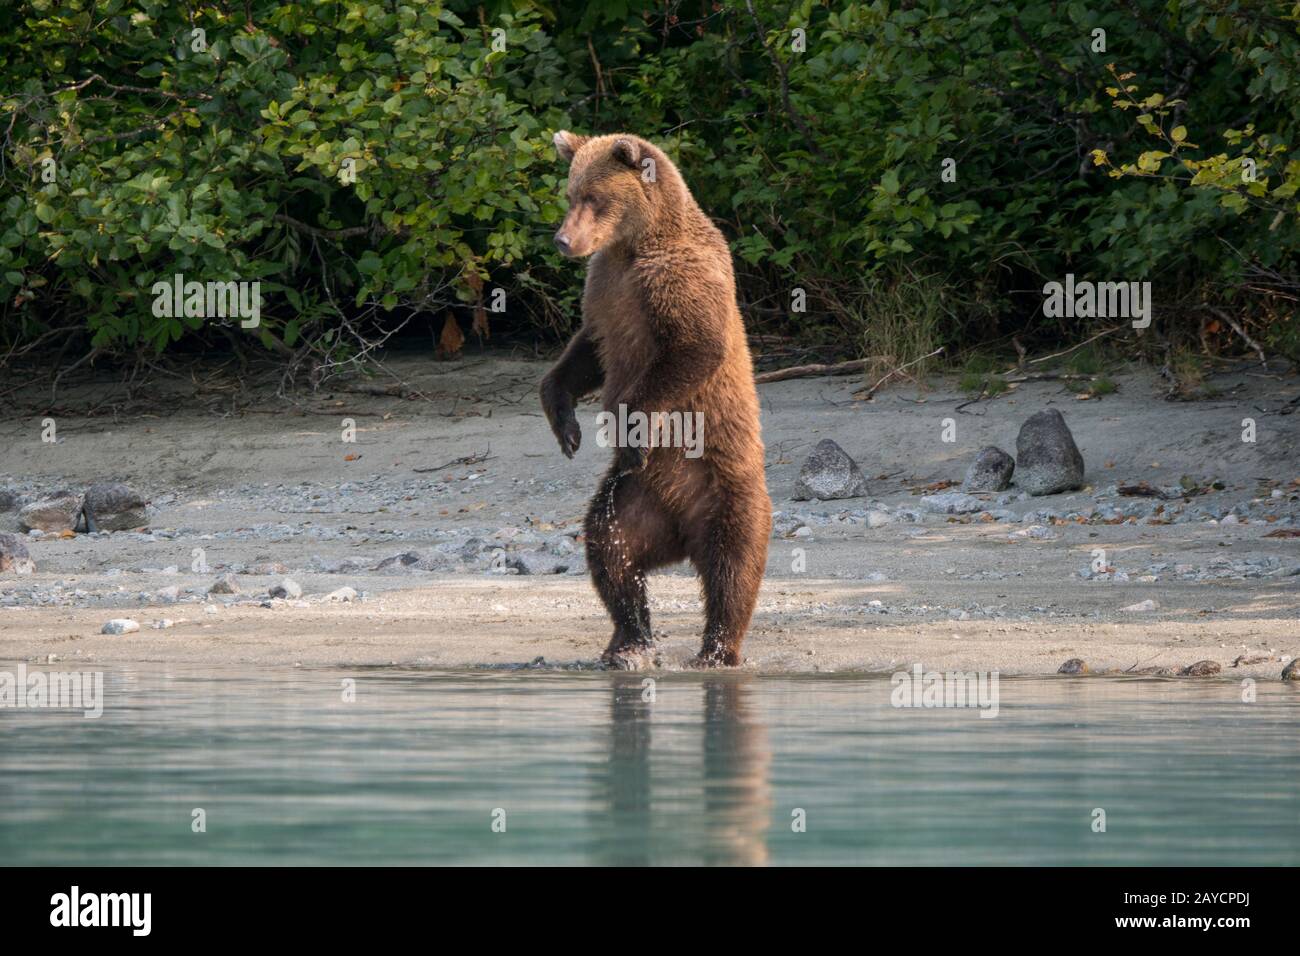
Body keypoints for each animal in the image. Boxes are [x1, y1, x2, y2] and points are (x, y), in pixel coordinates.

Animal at [539, 130, 772, 668]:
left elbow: (694, 348)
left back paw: (716, 650)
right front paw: (566, 426)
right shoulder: (607, 289)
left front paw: (626, 427)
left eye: (594, 197)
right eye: (570, 195)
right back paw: (628, 641)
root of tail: (683, 535)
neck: (636, 245)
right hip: (632, 498)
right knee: (610, 548)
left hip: (725, 485)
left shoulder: (677, 278)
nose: (563, 240)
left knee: (734, 566)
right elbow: (588, 351)